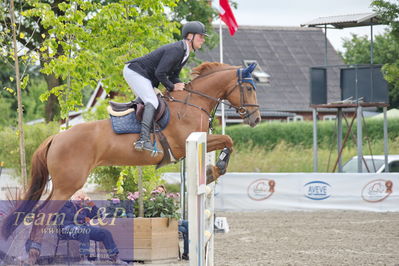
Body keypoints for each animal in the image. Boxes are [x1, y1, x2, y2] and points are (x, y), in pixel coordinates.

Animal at [1, 60, 262, 264]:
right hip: (68, 184)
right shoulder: (186, 144)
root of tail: (56, 137)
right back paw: (32, 254)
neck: (192, 102)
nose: (256, 119)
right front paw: (213, 171)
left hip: (61, 185)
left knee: (41, 212)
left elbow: (228, 141)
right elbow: (228, 139)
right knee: (42, 214)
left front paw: (211, 171)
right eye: (249, 87)